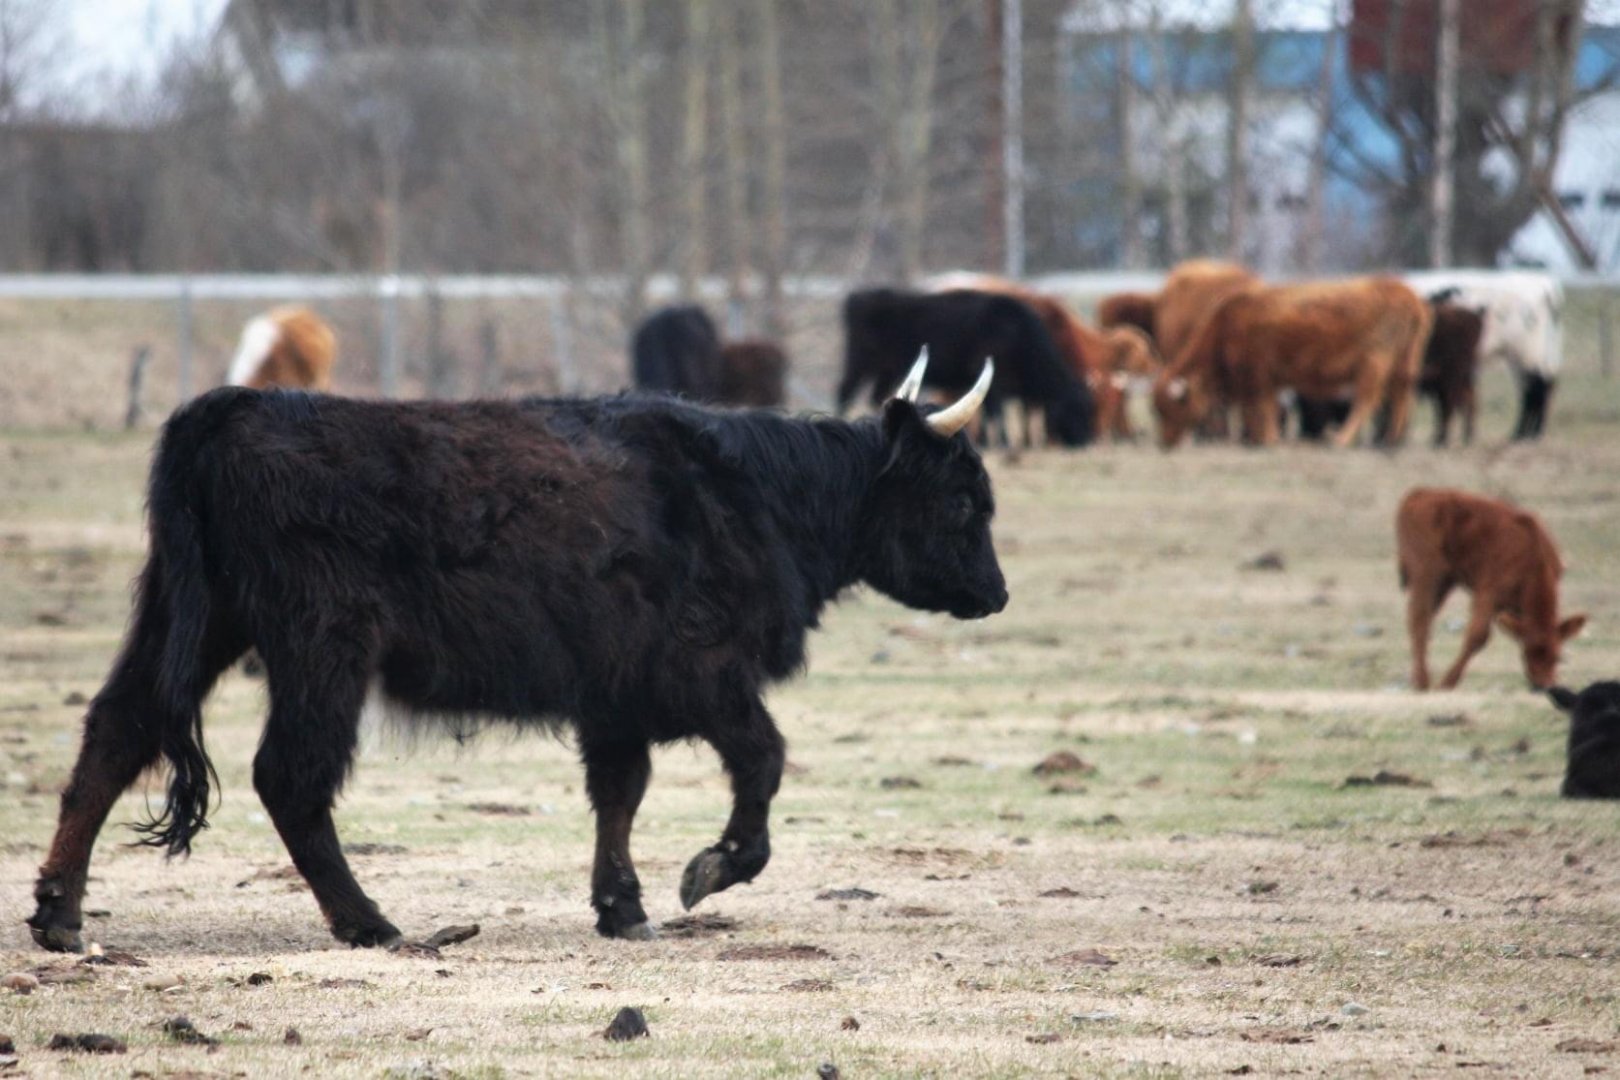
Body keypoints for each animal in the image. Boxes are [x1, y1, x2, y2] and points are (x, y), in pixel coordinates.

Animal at [28, 355, 1008, 953]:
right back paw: (371, 923)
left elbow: (619, 793)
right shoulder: (703, 674)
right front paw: (711, 870)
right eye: (964, 500)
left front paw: (622, 907)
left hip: (188, 622)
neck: (754, 493)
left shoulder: (615, 696)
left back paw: (59, 914)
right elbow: (763, 759)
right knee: (290, 776)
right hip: (321, 649)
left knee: (117, 732)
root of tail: (234, 407)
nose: (997, 594)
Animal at [838, 286, 1094, 447]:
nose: (1084, 442)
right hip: (859, 362)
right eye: (1076, 410)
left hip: (885, 370)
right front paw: (1002, 443)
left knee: (876, 396)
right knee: (845, 392)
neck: (1016, 330)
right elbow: (995, 410)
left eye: (1088, 409)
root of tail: (858, 296)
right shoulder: (995, 379)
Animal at [1153, 277, 1431, 449]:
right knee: (1402, 399)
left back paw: (1341, 439)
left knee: (1366, 401)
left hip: (1373, 365)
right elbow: (1257, 410)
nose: (1165, 443)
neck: (1226, 327)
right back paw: (1391, 441)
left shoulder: (1259, 377)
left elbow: (1262, 408)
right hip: (1402, 366)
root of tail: (1406, 294)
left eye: (1170, 408)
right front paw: (1258, 439)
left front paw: (1267, 439)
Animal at [1396, 488, 1586, 691]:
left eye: (1558, 656)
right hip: (1427, 575)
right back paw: (1422, 681)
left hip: (1444, 582)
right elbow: (1478, 636)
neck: (1534, 558)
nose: (1542, 685)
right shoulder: (1487, 594)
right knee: (1420, 620)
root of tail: (1420, 493)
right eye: (1526, 652)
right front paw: (1448, 682)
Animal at [1405, 271, 1563, 440]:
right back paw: (1523, 433)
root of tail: (1544, 285)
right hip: (1529, 358)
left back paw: (1528, 434)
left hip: (1528, 355)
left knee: (1537, 390)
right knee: (1534, 390)